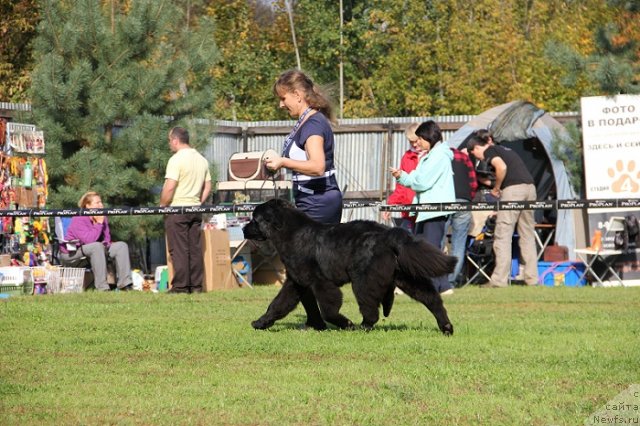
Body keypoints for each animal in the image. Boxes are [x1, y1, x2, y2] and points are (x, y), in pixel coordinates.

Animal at [242, 200, 458, 336]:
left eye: (254, 219)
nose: (244, 229)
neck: (291, 234)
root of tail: (388, 234)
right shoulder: (296, 282)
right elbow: (277, 305)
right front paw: (261, 322)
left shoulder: (321, 282)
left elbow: (328, 309)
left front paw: (345, 323)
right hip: (406, 277)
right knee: (432, 299)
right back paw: (446, 327)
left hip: (363, 280)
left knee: (371, 310)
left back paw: (361, 327)